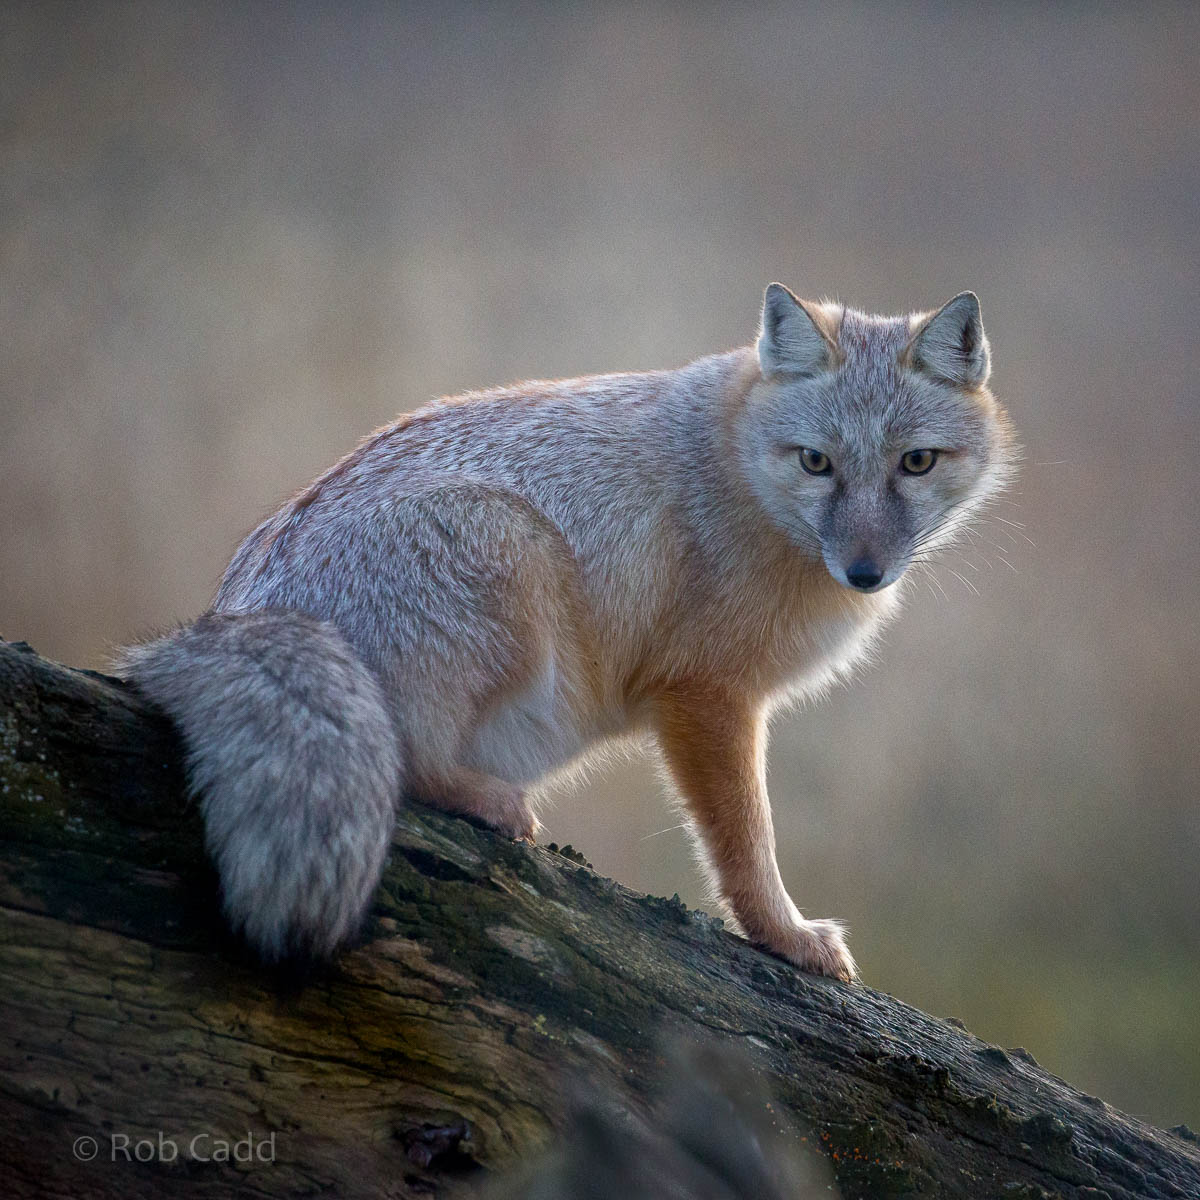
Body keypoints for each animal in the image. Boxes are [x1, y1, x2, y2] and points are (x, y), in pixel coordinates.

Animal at [119, 284, 1015, 982]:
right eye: (816, 462)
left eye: (916, 463)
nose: (865, 571)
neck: (733, 461)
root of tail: (237, 613)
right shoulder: (706, 694)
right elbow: (746, 843)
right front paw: (784, 935)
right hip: (514, 558)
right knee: (407, 760)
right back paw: (489, 802)